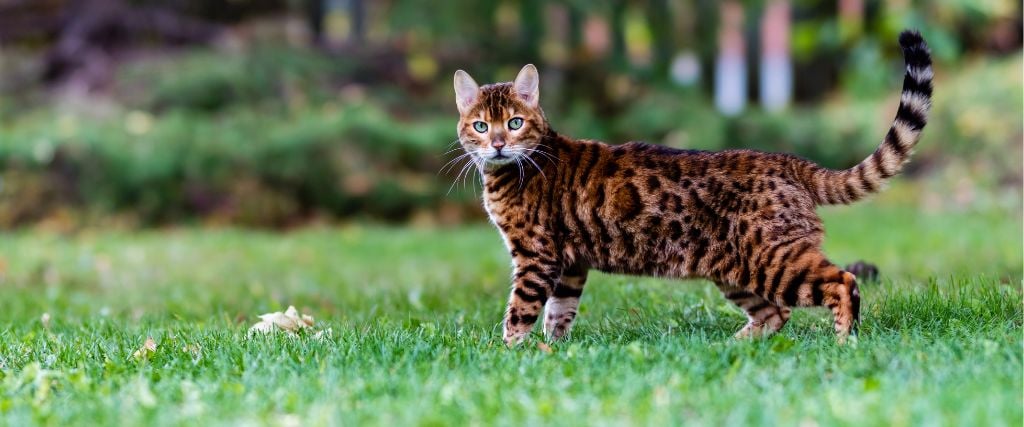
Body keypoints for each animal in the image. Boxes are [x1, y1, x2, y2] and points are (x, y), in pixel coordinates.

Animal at [452, 29, 933, 344]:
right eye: (480, 125)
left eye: (515, 123)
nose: (497, 144)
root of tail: (786, 160)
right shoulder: (570, 264)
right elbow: (558, 313)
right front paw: (553, 352)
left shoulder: (537, 257)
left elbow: (520, 311)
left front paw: (510, 354)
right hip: (738, 272)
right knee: (777, 313)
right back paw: (732, 347)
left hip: (775, 260)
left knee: (842, 281)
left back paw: (843, 341)